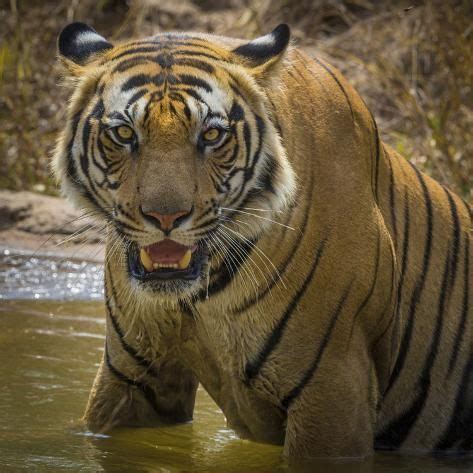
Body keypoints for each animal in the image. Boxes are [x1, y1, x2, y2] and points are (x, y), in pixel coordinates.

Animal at [52, 21, 472, 458]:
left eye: (212, 135)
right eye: (123, 133)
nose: (165, 216)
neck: (199, 299)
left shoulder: (333, 389)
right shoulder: (132, 376)